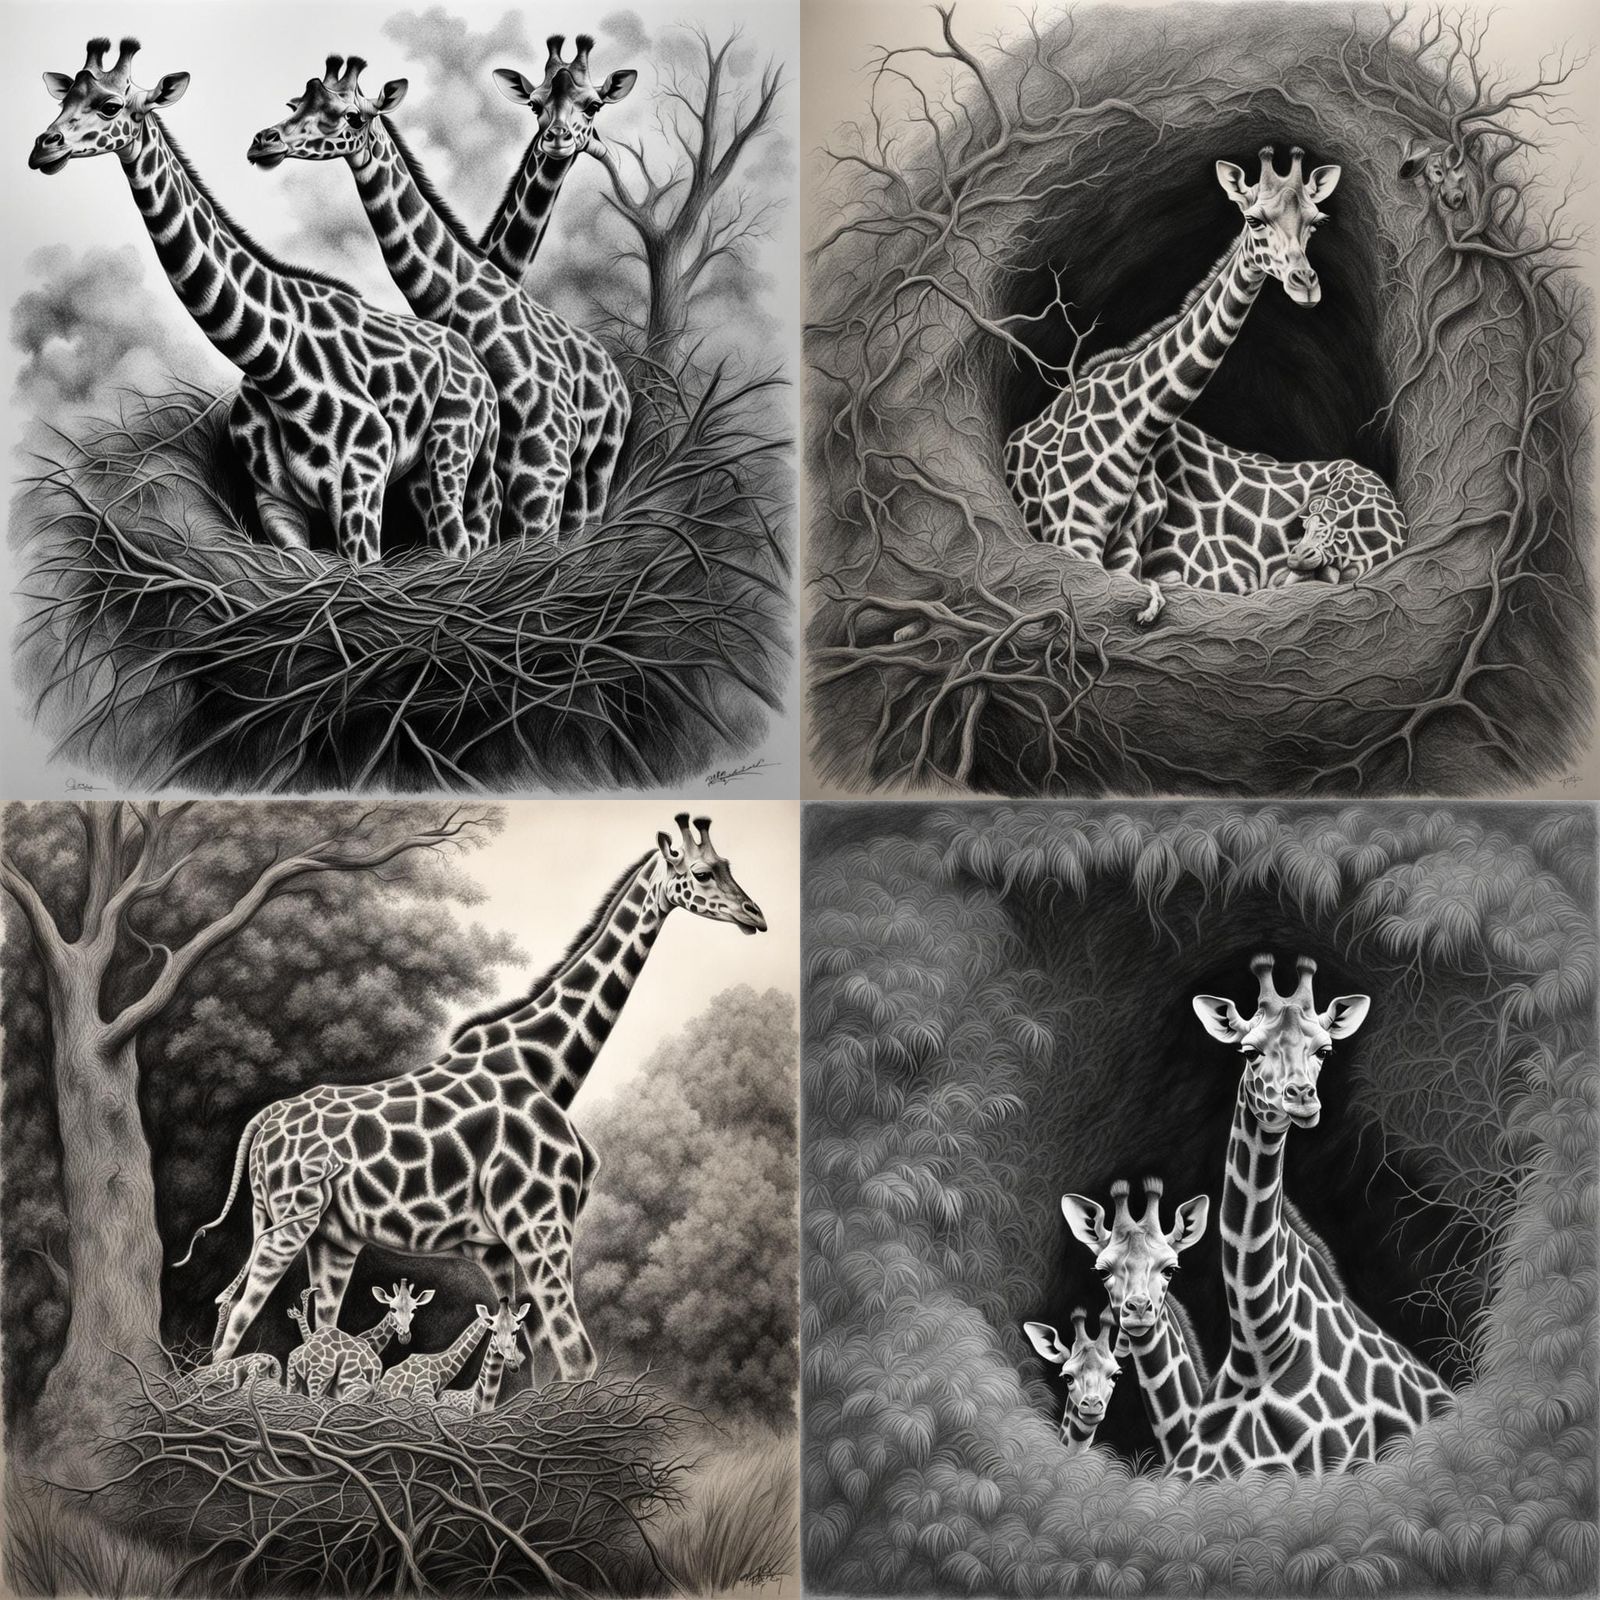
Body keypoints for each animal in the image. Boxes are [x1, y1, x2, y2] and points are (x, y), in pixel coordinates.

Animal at [30, 38, 499, 565]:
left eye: (110, 106)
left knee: (458, 542)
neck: (273, 366)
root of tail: (476, 365)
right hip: (443, 470)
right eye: (63, 100)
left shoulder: (361, 481)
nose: (42, 148)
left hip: (451, 449)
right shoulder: (274, 502)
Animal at [180, 814, 765, 1391]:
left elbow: (523, 1355)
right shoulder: (541, 1224)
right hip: (292, 1220)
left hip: (322, 1232)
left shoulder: (498, 1247)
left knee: (295, 1317)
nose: (754, 915)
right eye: (703, 873)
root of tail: (262, 1122)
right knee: (239, 1312)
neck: (548, 1067)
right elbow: (576, 1359)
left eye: (728, 865)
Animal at [249, 55, 630, 543]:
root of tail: (616, 383)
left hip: (589, 471)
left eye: (353, 116)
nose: (263, 143)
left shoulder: (539, 471)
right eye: (295, 104)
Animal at [1004, 146, 1406, 624]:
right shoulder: (1072, 537)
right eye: (1254, 220)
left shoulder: (1119, 549)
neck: (1130, 431)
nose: (1305, 285)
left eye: (1315, 222)